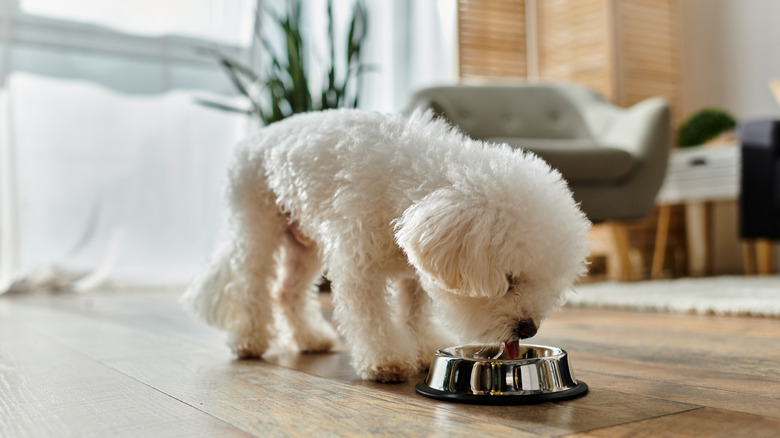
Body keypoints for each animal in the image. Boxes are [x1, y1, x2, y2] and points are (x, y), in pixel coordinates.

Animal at [180, 110, 588, 384]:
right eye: (508, 280)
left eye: (547, 283)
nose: (528, 329)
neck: (411, 182)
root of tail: (254, 138)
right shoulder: (356, 264)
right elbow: (371, 316)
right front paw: (386, 360)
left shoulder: (414, 269)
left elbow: (415, 312)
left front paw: (423, 347)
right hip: (257, 229)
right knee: (253, 288)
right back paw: (248, 341)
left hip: (304, 245)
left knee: (288, 292)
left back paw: (310, 338)